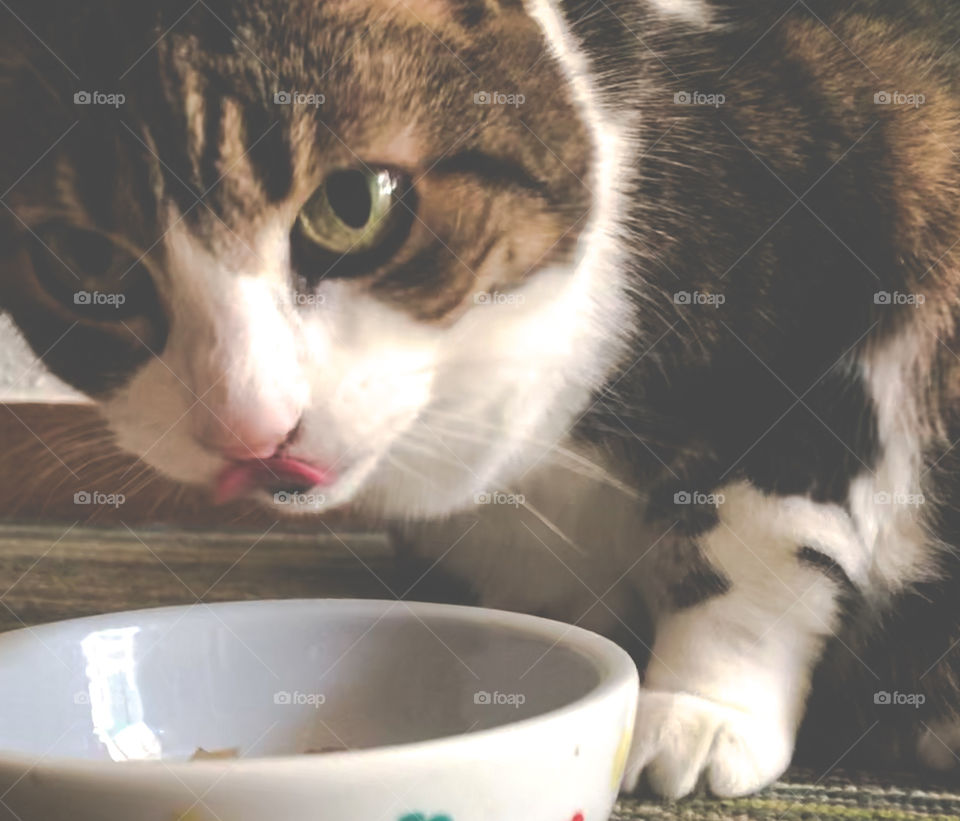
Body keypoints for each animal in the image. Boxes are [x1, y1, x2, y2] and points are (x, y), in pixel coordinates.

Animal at [1, 0, 960, 796]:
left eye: (353, 203)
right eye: (81, 260)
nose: (248, 424)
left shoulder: (847, 299)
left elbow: (753, 545)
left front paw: (697, 711)